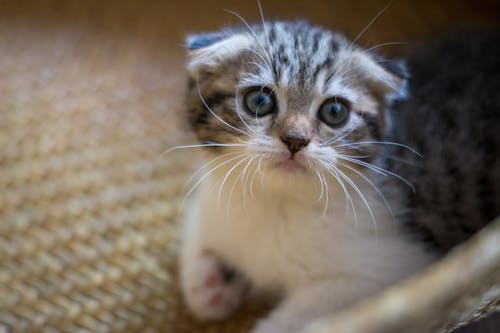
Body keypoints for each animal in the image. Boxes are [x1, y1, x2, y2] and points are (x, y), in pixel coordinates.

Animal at [178, 20, 498, 332]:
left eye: (334, 111)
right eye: (259, 101)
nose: (295, 140)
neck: (278, 203)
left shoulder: (393, 268)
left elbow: (309, 314)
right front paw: (208, 283)